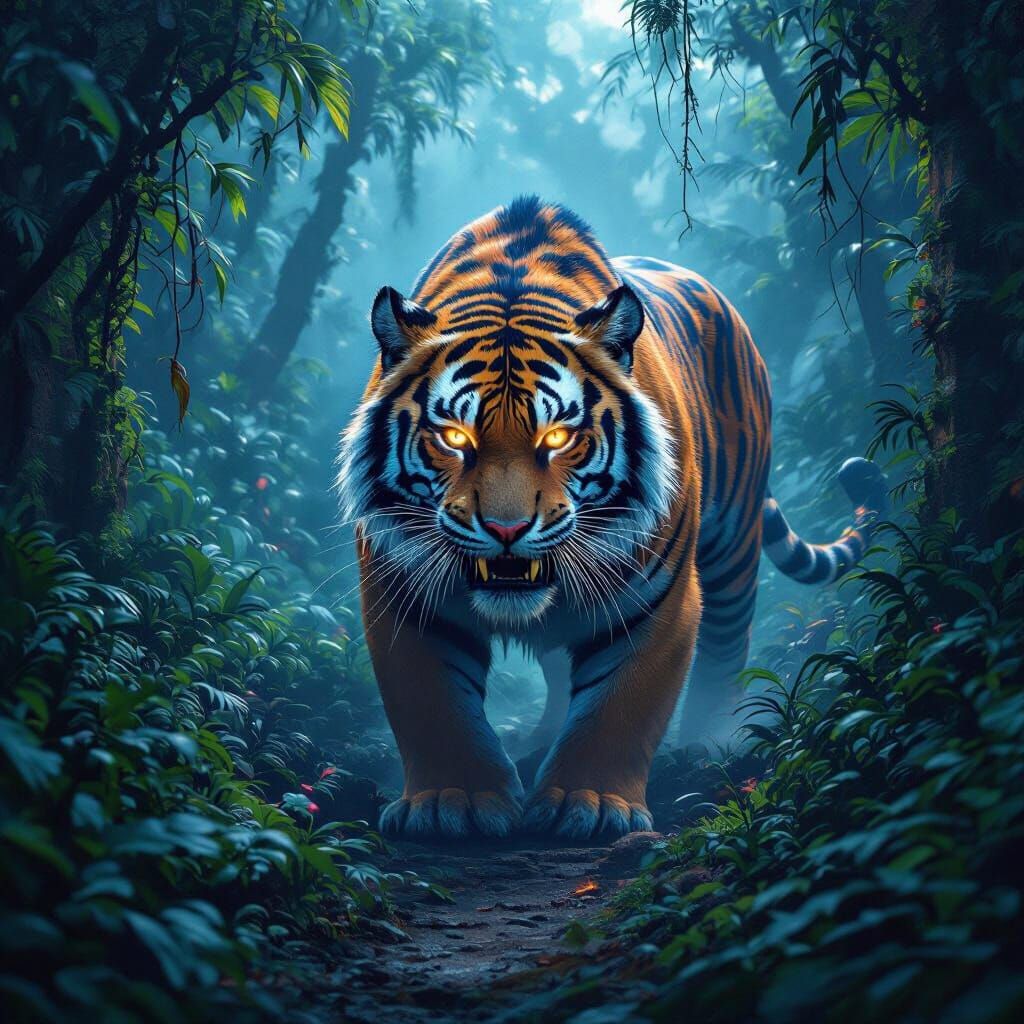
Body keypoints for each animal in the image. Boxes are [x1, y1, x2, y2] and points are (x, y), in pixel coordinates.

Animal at [336, 196, 885, 840]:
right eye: (454, 437)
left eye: (557, 437)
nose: (505, 530)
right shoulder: (402, 593)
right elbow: (432, 704)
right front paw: (456, 801)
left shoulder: (658, 597)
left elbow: (621, 707)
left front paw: (591, 803)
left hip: (733, 542)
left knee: (727, 646)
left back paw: (707, 749)